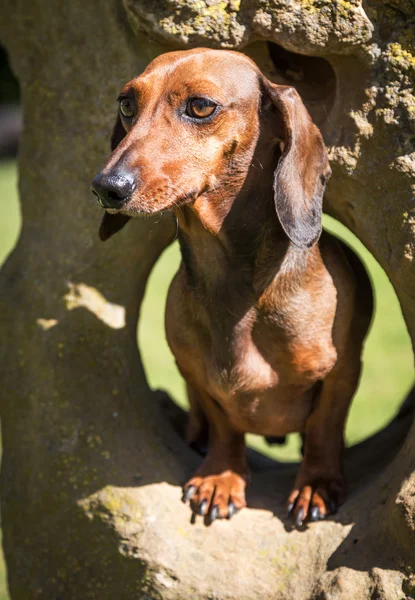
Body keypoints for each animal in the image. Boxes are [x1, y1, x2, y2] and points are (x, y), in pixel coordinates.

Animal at [91, 48, 374, 524]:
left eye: (201, 106)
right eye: (127, 104)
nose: (106, 187)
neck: (233, 285)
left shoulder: (342, 372)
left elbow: (324, 427)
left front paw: (316, 484)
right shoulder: (197, 376)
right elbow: (223, 423)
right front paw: (220, 477)